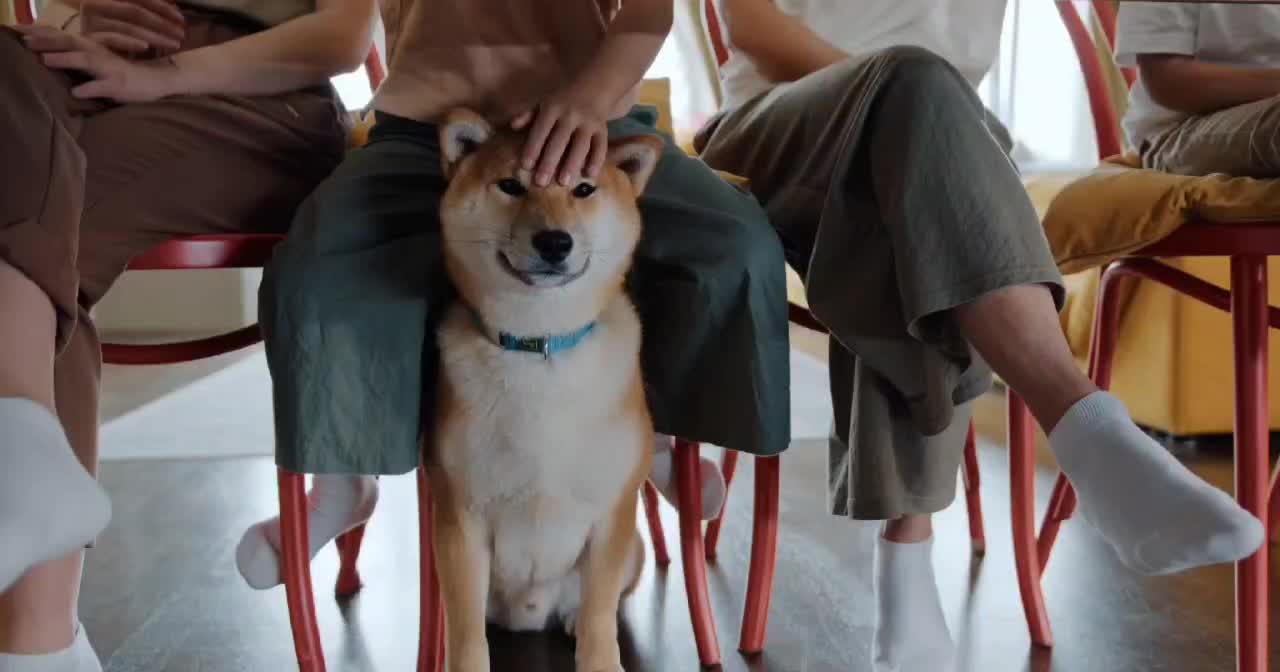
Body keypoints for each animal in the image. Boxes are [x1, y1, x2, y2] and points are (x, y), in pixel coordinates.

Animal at [432, 107, 665, 665]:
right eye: (511, 186)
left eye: (583, 189)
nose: (555, 242)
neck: (538, 349)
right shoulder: (459, 518)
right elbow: (465, 637)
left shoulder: (612, 515)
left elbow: (601, 621)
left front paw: (599, 656)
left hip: (634, 549)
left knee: (595, 605)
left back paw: (570, 619)